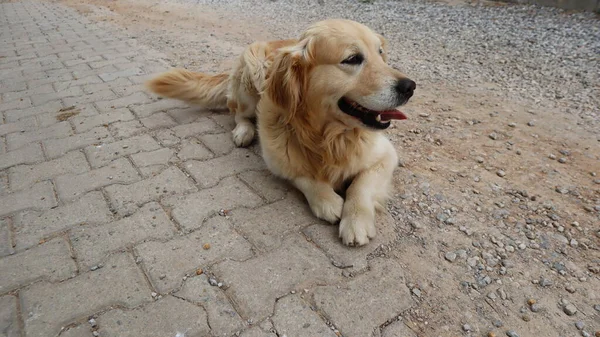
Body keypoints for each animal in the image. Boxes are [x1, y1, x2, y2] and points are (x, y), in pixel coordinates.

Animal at [148, 19, 414, 244]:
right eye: (352, 59)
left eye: (381, 54)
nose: (410, 86)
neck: (327, 137)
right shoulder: (277, 158)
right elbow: (304, 176)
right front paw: (329, 201)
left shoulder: (385, 155)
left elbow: (361, 185)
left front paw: (356, 221)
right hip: (251, 75)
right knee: (237, 113)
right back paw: (243, 132)